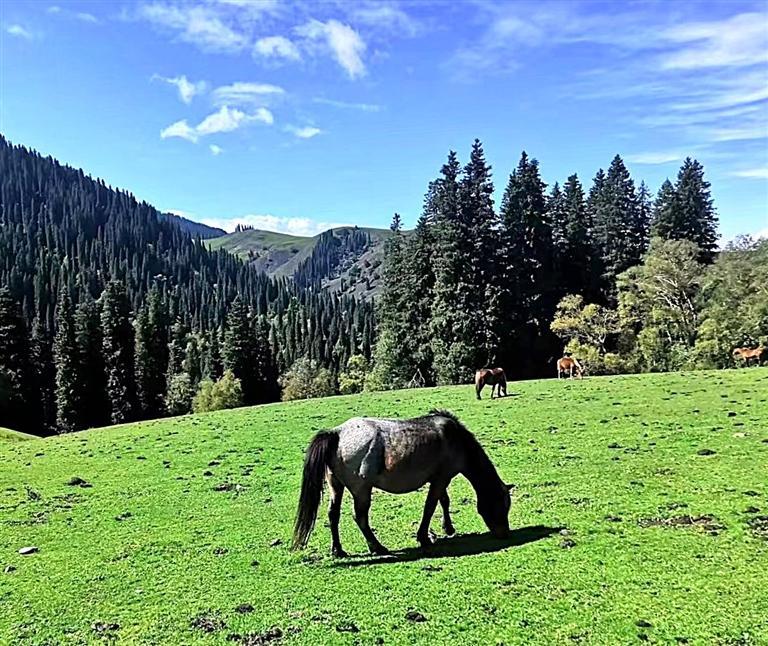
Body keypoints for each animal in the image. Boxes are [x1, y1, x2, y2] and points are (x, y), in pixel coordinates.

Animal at [292, 410, 512, 556]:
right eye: (501, 506)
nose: (505, 533)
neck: (456, 439)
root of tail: (337, 433)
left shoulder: (439, 479)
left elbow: (443, 501)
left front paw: (447, 528)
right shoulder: (441, 479)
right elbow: (430, 506)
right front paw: (424, 537)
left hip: (336, 486)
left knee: (333, 514)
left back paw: (338, 550)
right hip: (361, 490)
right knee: (360, 517)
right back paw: (377, 547)